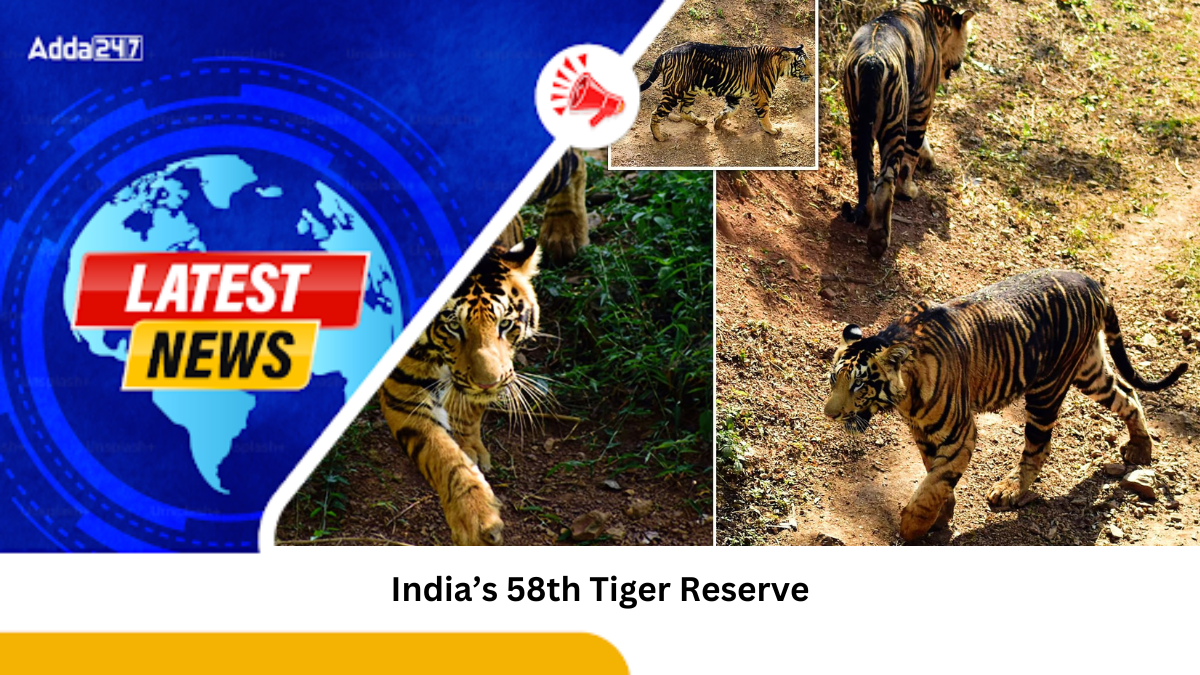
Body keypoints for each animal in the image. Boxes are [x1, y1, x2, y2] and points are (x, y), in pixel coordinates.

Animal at [638, 42, 813, 142]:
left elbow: (730, 110)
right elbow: (764, 115)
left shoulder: (734, 94)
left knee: (683, 110)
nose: (812, 74)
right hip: (674, 90)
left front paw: (717, 121)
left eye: (809, 62)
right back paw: (659, 137)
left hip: (689, 90)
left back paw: (701, 122)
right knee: (657, 113)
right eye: (802, 64)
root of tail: (665, 53)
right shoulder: (762, 95)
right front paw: (771, 129)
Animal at [823, 270, 1188, 542]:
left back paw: (1009, 489)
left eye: (858, 384)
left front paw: (912, 528)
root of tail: (1092, 282)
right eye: (833, 378)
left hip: (1047, 390)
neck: (905, 395)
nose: (830, 414)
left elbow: (935, 482)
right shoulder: (924, 432)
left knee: (1038, 447)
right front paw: (942, 515)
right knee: (1127, 393)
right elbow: (934, 474)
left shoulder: (959, 433)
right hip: (1089, 371)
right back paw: (1140, 448)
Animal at [839, 1, 975, 258]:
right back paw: (879, 239)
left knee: (866, 172)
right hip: (893, 126)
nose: (961, 64)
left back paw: (868, 217)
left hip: (857, 122)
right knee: (887, 179)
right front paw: (910, 189)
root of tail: (871, 60)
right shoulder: (923, 102)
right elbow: (912, 153)